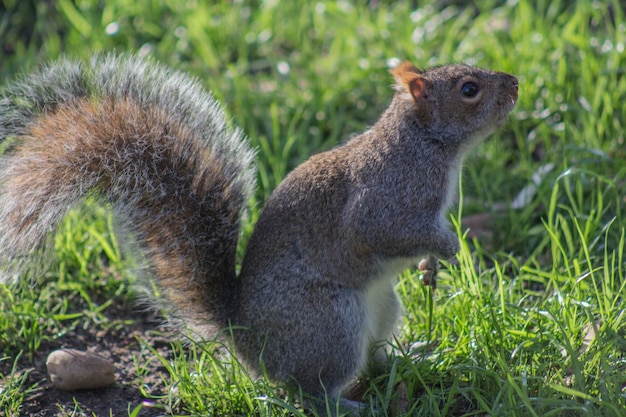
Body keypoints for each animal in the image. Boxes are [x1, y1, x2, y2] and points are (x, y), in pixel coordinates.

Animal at [0, 53, 516, 408]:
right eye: (469, 88)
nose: (514, 83)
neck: (428, 144)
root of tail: (245, 338)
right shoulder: (388, 199)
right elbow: (389, 232)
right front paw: (448, 247)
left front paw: (432, 267)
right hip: (331, 322)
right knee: (310, 390)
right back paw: (349, 404)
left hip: (383, 307)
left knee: (373, 357)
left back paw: (415, 356)